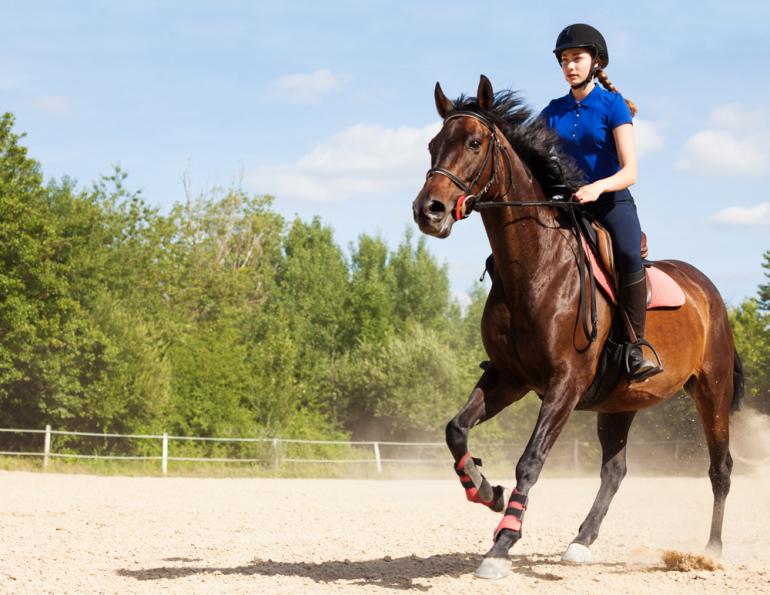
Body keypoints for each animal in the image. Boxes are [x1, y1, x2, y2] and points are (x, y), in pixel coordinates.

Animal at [412, 75, 744, 580]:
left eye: (473, 143)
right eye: (433, 144)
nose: (428, 211)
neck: (535, 268)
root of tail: (709, 292)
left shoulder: (564, 384)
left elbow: (530, 461)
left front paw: (501, 544)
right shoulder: (509, 377)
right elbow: (455, 430)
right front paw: (487, 492)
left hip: (713, 390)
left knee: (720, 467)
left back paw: (711, 551)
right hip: (621, 402)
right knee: (615, 470)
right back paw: (581, 541)